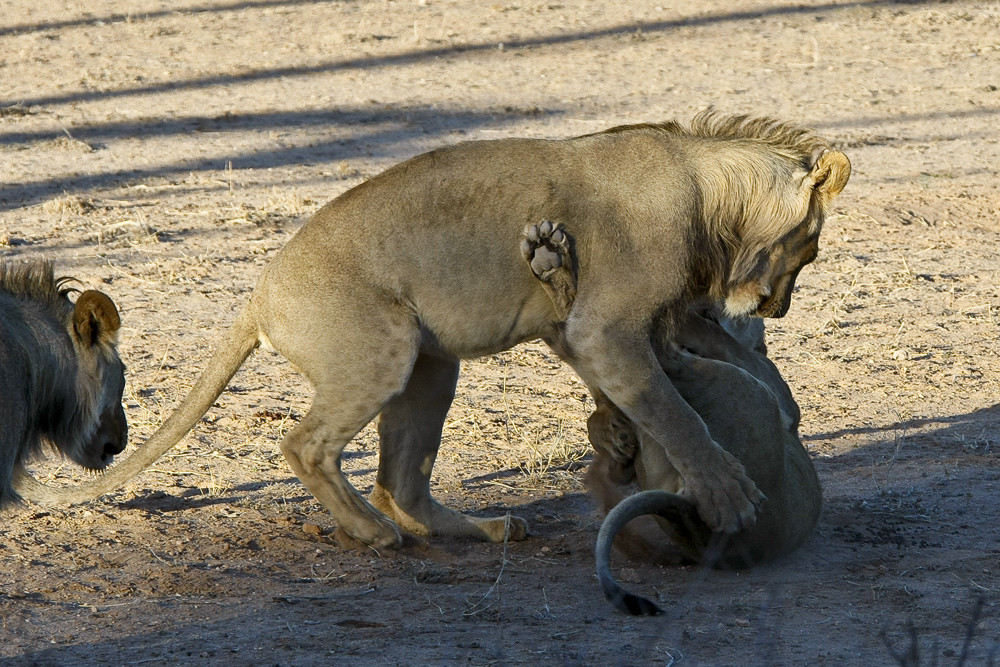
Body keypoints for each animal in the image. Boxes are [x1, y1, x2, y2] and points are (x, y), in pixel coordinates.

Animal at [15, 112, 844, 552]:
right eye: (810, 248)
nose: (779, 310)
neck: (710, 197)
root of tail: (258, 291)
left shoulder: (610, 330)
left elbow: (711, 388)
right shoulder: (605, 330)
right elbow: (676, 414)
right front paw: (728, 494)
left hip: (431, 368)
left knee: (402, 481)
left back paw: (481, 527)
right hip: (381, 351)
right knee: (306, 445)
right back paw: (371, 532)